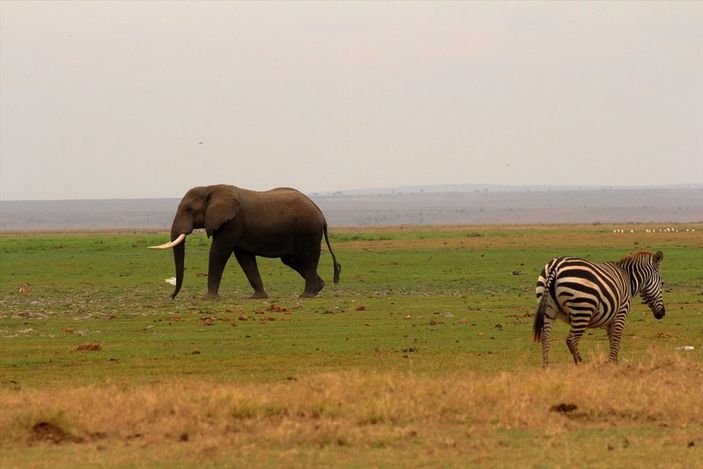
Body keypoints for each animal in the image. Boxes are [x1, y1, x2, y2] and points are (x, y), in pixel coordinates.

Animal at [150, 184, 342, 298]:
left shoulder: (231, 222)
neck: (211, 188)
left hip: (308, 230)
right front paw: (258, 297)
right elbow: (244, 257)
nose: (171, 297)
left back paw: (307, 295)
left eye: (189, 209)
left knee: (308, 257)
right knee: (291, 260)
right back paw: (318, 288)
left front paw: (209, 298)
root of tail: (321, 213)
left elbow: (219, 252)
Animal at [532, 249, 664, 366]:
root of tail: (555, 266)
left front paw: (615, 364)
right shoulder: (621, 313)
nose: (662, 313)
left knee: (546, 338)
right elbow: (616, 340)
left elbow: (612, 340)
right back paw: (581, 364)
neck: (628, 279)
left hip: (548, 310)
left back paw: (546, 368)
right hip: (582, 311)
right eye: (662, 283)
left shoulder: (611, 318)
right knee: (571, 340)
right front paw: (610, 364)